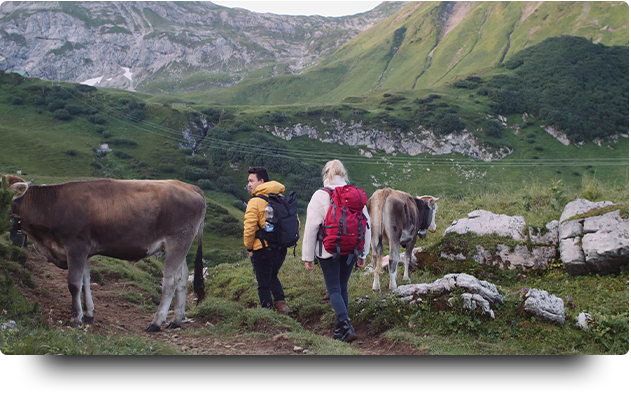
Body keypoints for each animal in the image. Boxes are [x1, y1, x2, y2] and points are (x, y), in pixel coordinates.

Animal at [5, 176, 207, 332]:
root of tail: (191, 187)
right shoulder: (84, 252)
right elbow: (85, 281)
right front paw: (88, 313)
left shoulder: (76, 246)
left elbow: (74, 284)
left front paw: (75, 319)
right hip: (177, 246)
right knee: (182, 278)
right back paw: (176, 321)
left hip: (177, 242)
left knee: (170, 281)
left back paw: (156, 323)